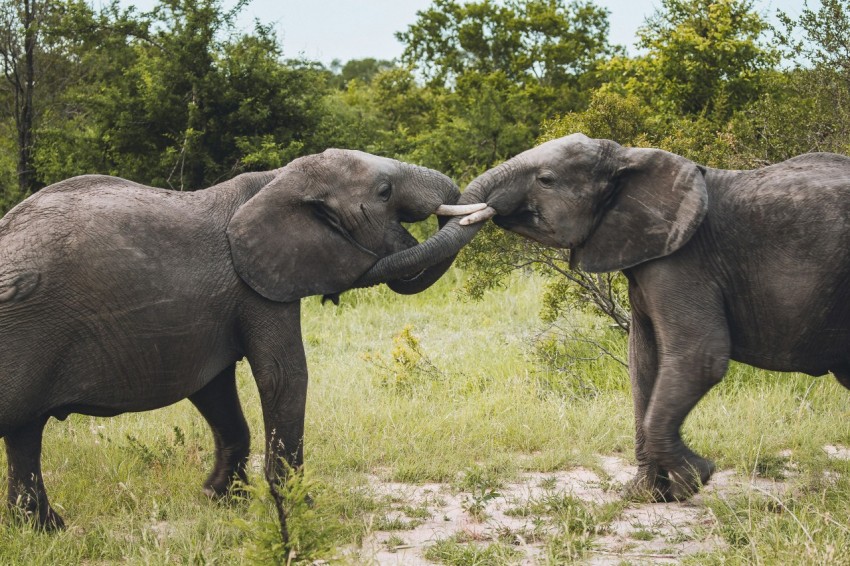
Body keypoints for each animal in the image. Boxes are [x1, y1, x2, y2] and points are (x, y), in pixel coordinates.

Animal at [0, 148, 485, 532]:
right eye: (384, 191)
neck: (278, 180)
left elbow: (214, 390)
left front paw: (220, 499)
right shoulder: (256, 289)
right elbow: (283, 378)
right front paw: (302, 508)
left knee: (24, 434)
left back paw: (46, 530)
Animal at [362, 132, 850, 501]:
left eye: (546, 179)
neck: (631, 159)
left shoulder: (684, 260)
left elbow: (700, 357)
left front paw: (698, 478)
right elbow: (643, 362)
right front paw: (648, 496)